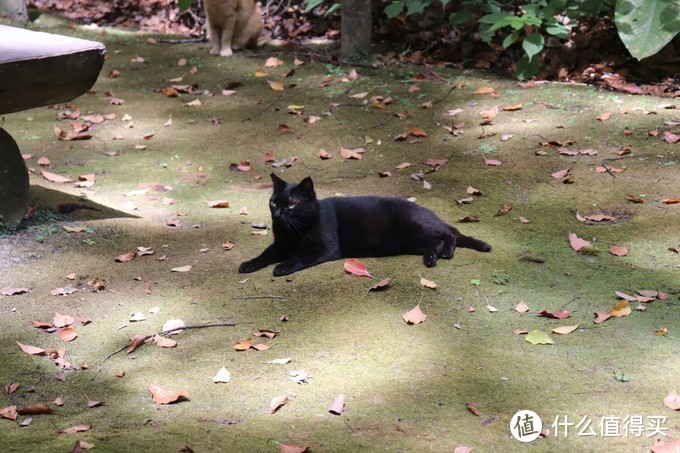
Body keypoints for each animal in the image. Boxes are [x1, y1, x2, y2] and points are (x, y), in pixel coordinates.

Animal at [238, 174, 488, 276]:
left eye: (290, 205)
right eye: (273, 202)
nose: (277, 214)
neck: (293, 232)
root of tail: (429, 212)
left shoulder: (324, 248)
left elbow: (300, 256)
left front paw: (282, 267)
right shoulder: (280, 245)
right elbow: (265, 254)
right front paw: (248, 264)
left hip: (416, 226)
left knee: (448, 234)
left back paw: (447, 252)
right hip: (413, 241)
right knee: (435, 242)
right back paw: (431, 258)